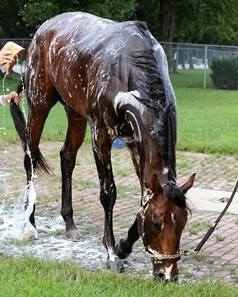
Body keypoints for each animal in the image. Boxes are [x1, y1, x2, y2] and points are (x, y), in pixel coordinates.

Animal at [10, 11, 194, 280]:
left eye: (183, 222)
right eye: (157, 221)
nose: (167, 274)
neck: (127, 68)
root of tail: (44, 29)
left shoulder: (135, 144)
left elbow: (143, 195)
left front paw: (124, 245)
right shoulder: (101, 135)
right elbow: (108, 192)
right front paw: (112, 254)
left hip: (75, 113)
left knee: (67, 157)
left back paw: (69, 223)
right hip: (39, 103)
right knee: (30, 158)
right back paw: (30, 222)